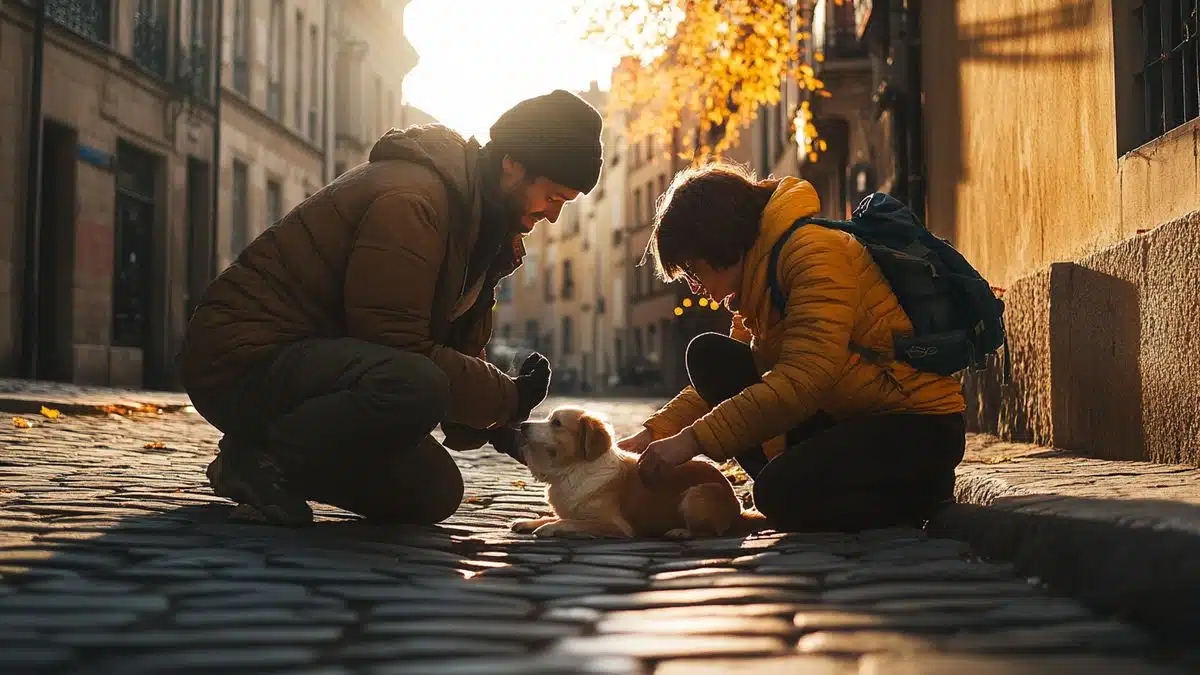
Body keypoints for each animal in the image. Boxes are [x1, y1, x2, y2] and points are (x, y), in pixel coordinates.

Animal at [511, 403, 763, 535]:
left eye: (556, 423)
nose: (522, 425)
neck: (573, 470)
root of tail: (737, 506)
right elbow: (555, 516)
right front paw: (528, 522)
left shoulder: (615, 526)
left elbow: (570, 522)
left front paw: (550, 527)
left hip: (695, 495)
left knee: (708, 532)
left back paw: (680, 532)